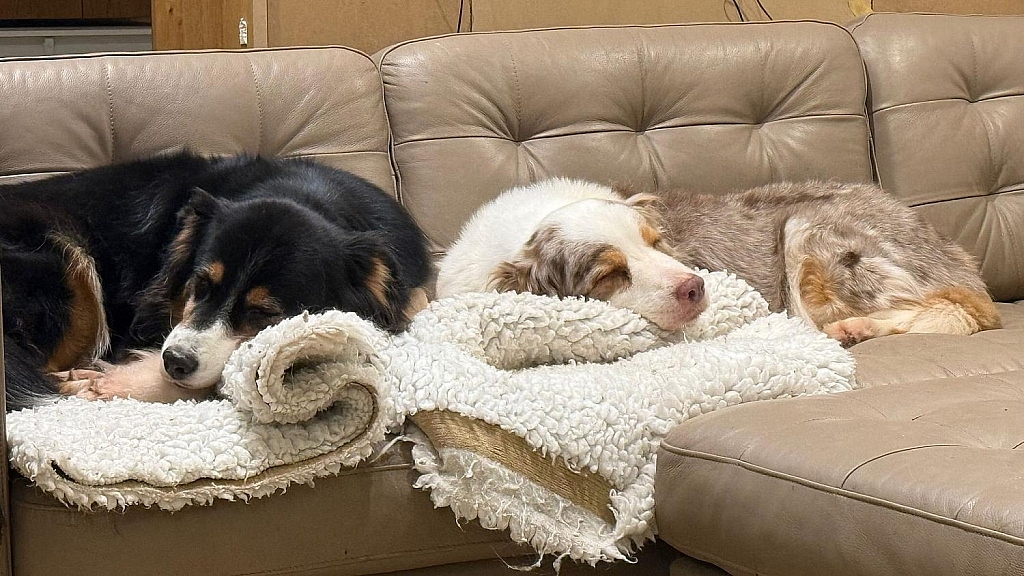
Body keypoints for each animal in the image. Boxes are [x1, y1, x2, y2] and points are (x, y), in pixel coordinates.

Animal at [1, 151, 431, 411]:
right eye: (201, 284)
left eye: (263, 313)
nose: (174, 361)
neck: (309, 196)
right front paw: (110, 381)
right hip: (68, 263)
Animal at [437, 178, 999, 345]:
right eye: (609, 275)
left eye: (656, 242)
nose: (696, 287)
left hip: (806, 231)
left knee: (956, 312)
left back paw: (854, 328)